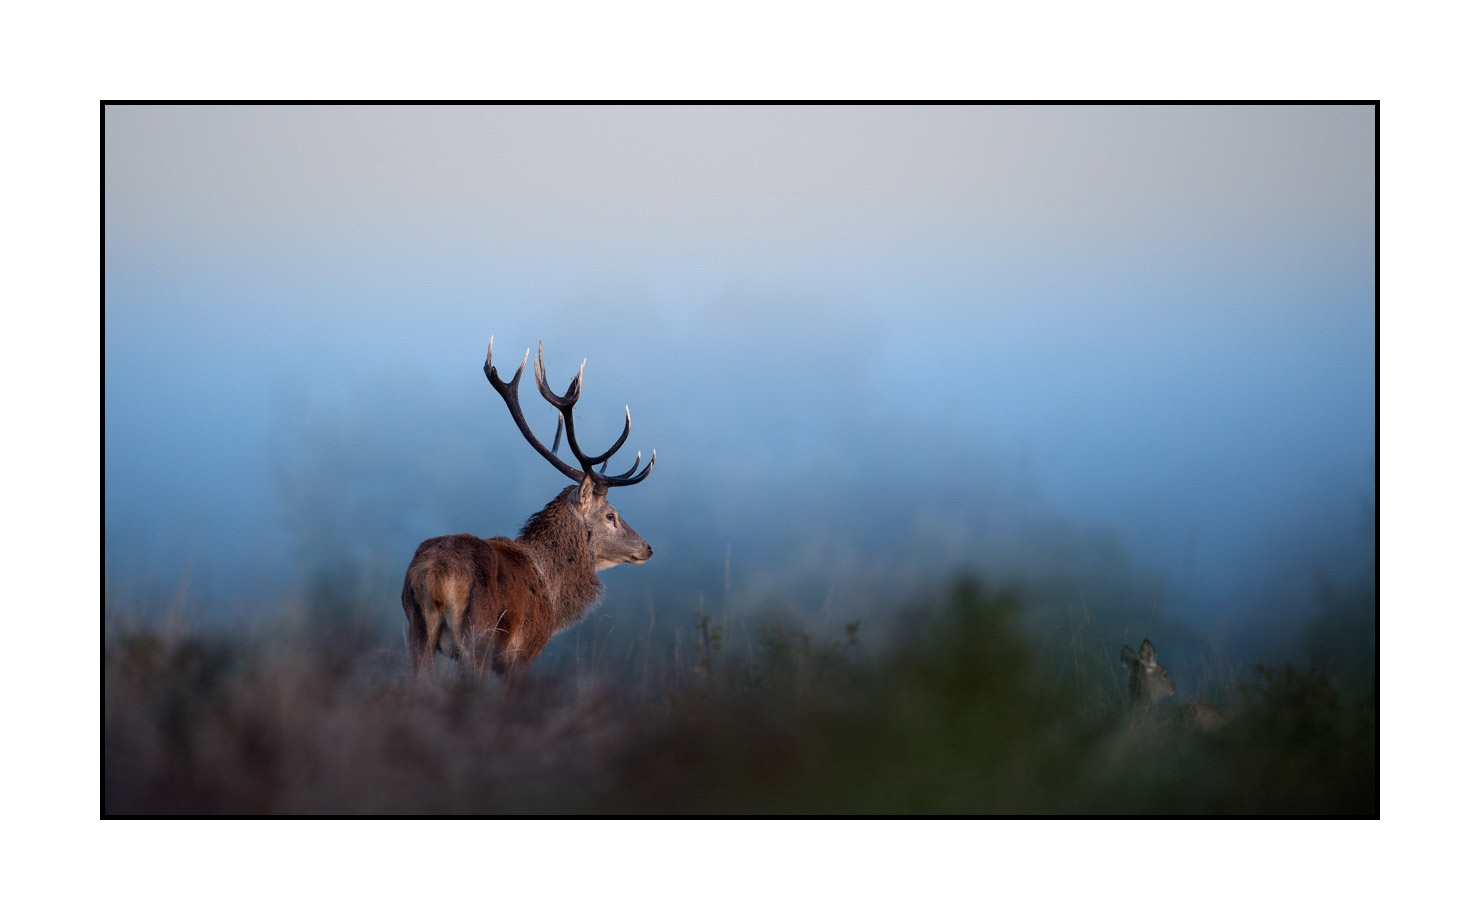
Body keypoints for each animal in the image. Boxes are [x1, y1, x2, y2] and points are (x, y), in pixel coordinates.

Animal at [401, 336, 656, 684]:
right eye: (610, 515)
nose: (647, 547)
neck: (553, 595)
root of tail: (436, 574)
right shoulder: (523, 652)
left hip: (415, 632)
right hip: (477, 639)